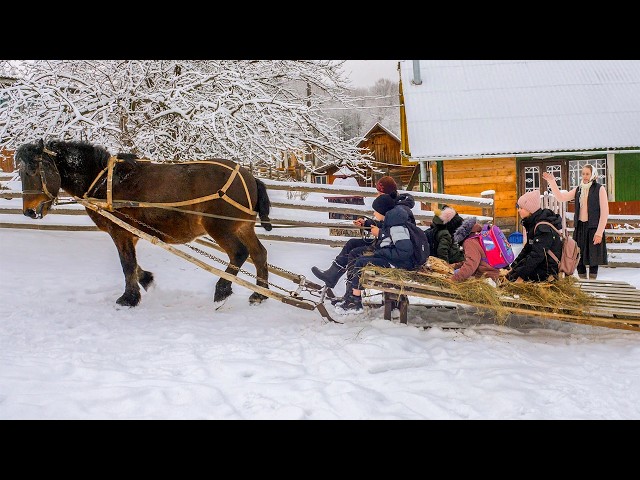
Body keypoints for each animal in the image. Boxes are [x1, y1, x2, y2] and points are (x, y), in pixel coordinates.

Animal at [16, 138, 272, 308]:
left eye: (32, 170)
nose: (28, 211)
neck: (105, 182)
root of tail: (249, 177)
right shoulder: (133, 232)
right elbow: (134, 263)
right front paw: (146, 280)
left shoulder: (119, 231)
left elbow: (127, 264)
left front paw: (128, 298)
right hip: (243, 227)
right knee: (259, 254)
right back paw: (259, 294)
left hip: (219, 227)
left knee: (239, 253)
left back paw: (223, 289)